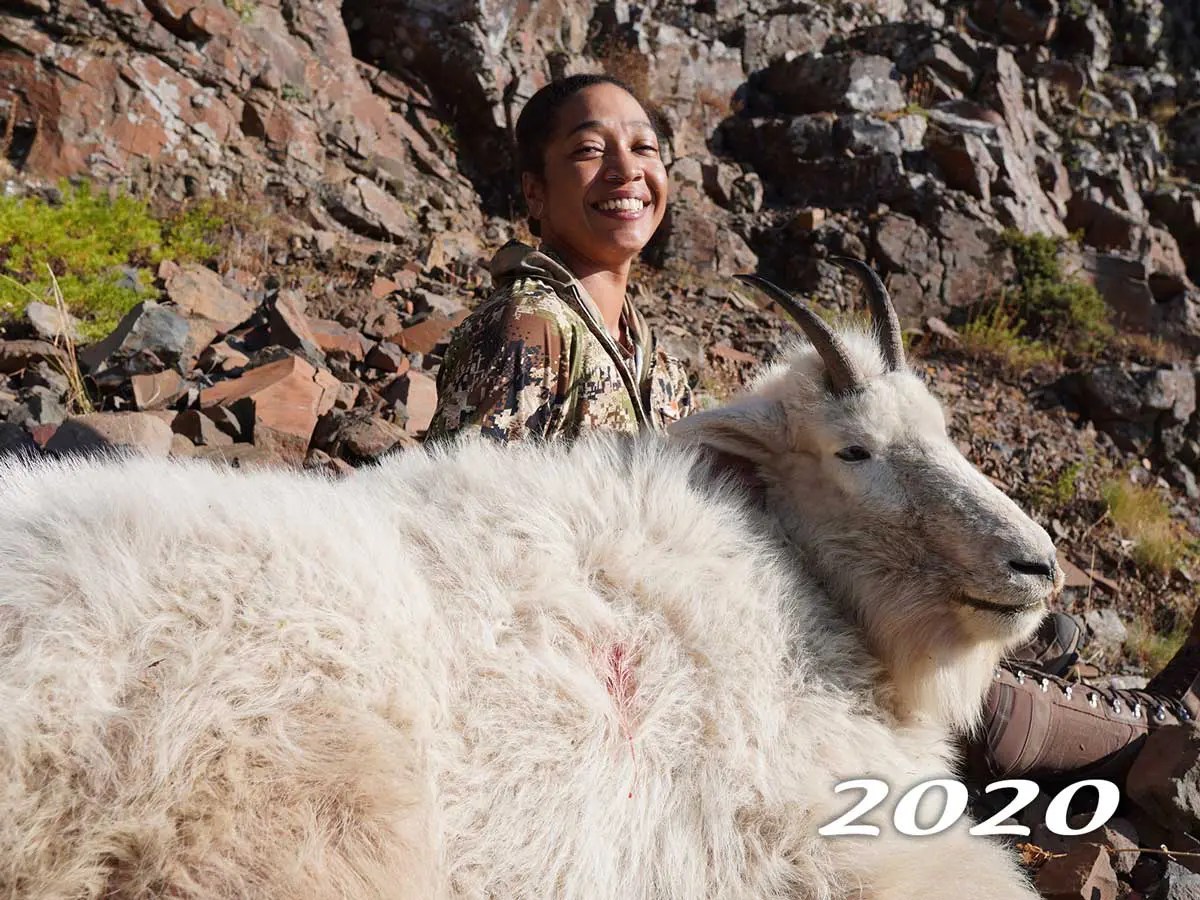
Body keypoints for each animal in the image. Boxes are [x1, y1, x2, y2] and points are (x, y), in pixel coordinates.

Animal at [0, 259, 1061, 900]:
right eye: (855, 450)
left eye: (943, 429)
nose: (1037, 564)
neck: (803, 583)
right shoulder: (830, 823)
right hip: (298, 818)